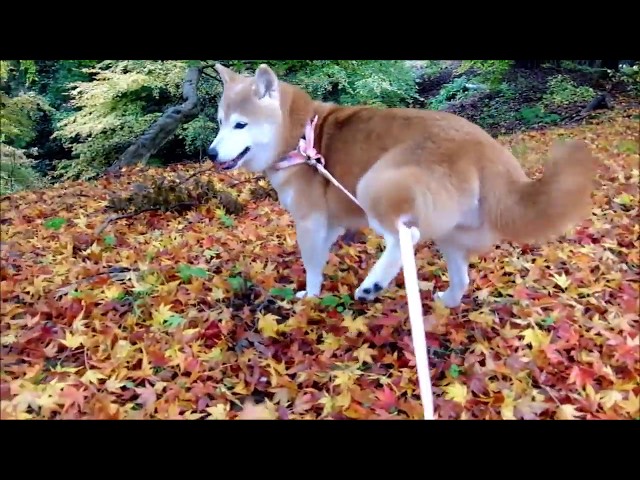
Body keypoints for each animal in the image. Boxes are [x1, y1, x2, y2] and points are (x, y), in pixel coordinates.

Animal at [208, 62, 596, 308]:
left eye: (240, 124)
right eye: (220, 122)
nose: (211, 153)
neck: (300, 135)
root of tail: (485, 146)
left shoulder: (310, 221)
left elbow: (311, 264)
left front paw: (310, 297)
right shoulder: (331, 223)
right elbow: (321, 255)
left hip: (372, 185)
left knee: (406, 236)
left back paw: (373, 284)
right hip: (450, 230)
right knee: (460, 277)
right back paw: (447, 301)